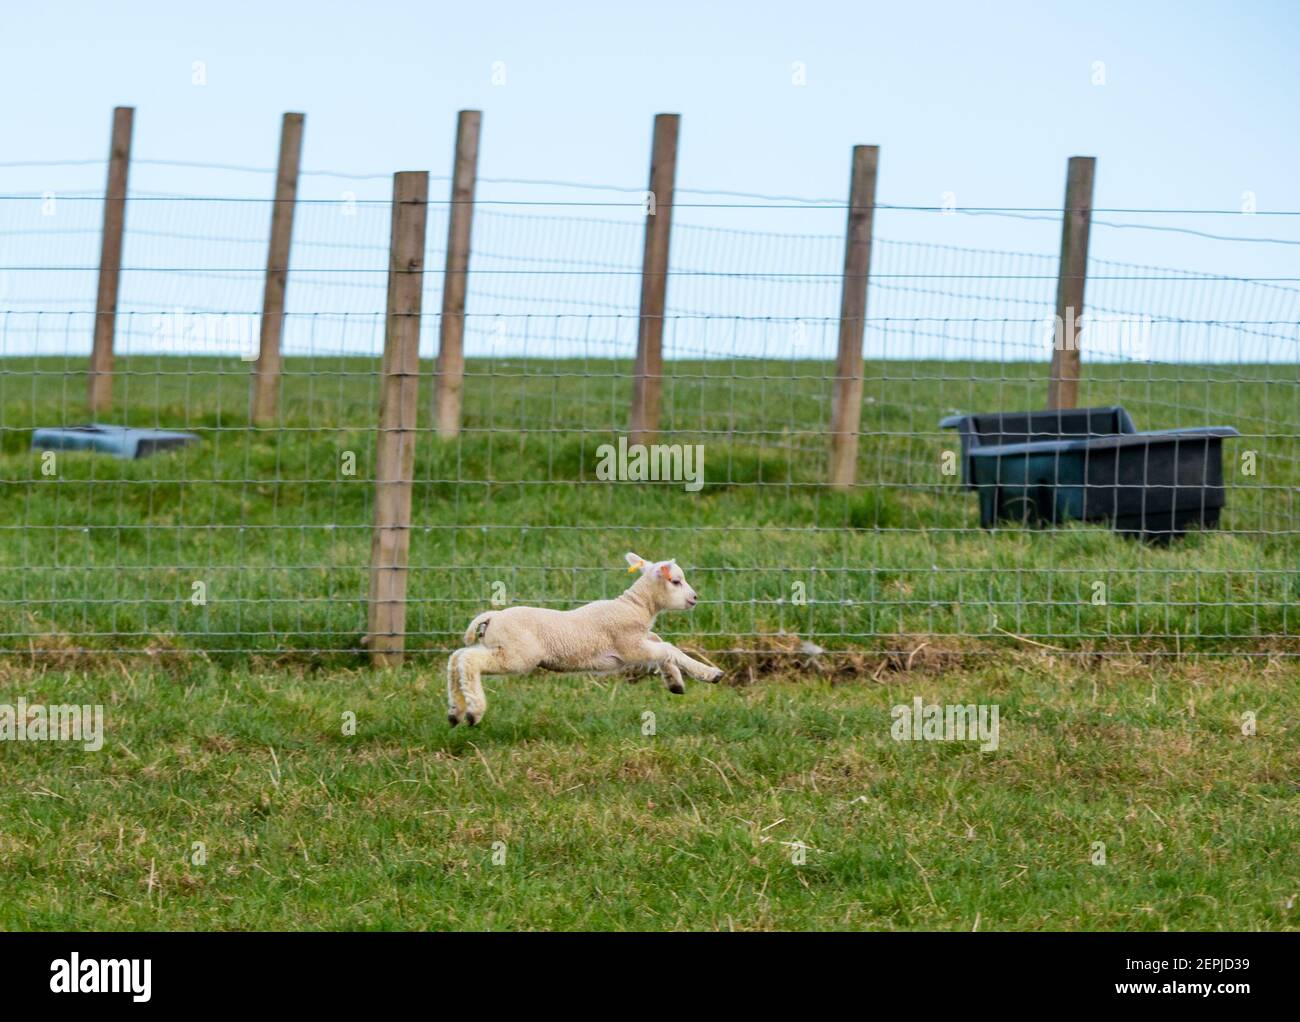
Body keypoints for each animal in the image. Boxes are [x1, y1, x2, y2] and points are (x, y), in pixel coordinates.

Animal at [449, 548, 728, 722]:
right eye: (676, 581)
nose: (695, 598)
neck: (635, 606)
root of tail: (491, 618)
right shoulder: (629, 646)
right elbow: (669, 648)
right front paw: (710, 674)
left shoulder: (640, 640)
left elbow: (661, 644)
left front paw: (674, 681)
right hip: (516, 655)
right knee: (469, 660)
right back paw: (474, 712)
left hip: (499, 648)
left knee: (457, 658)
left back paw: (455, 712)